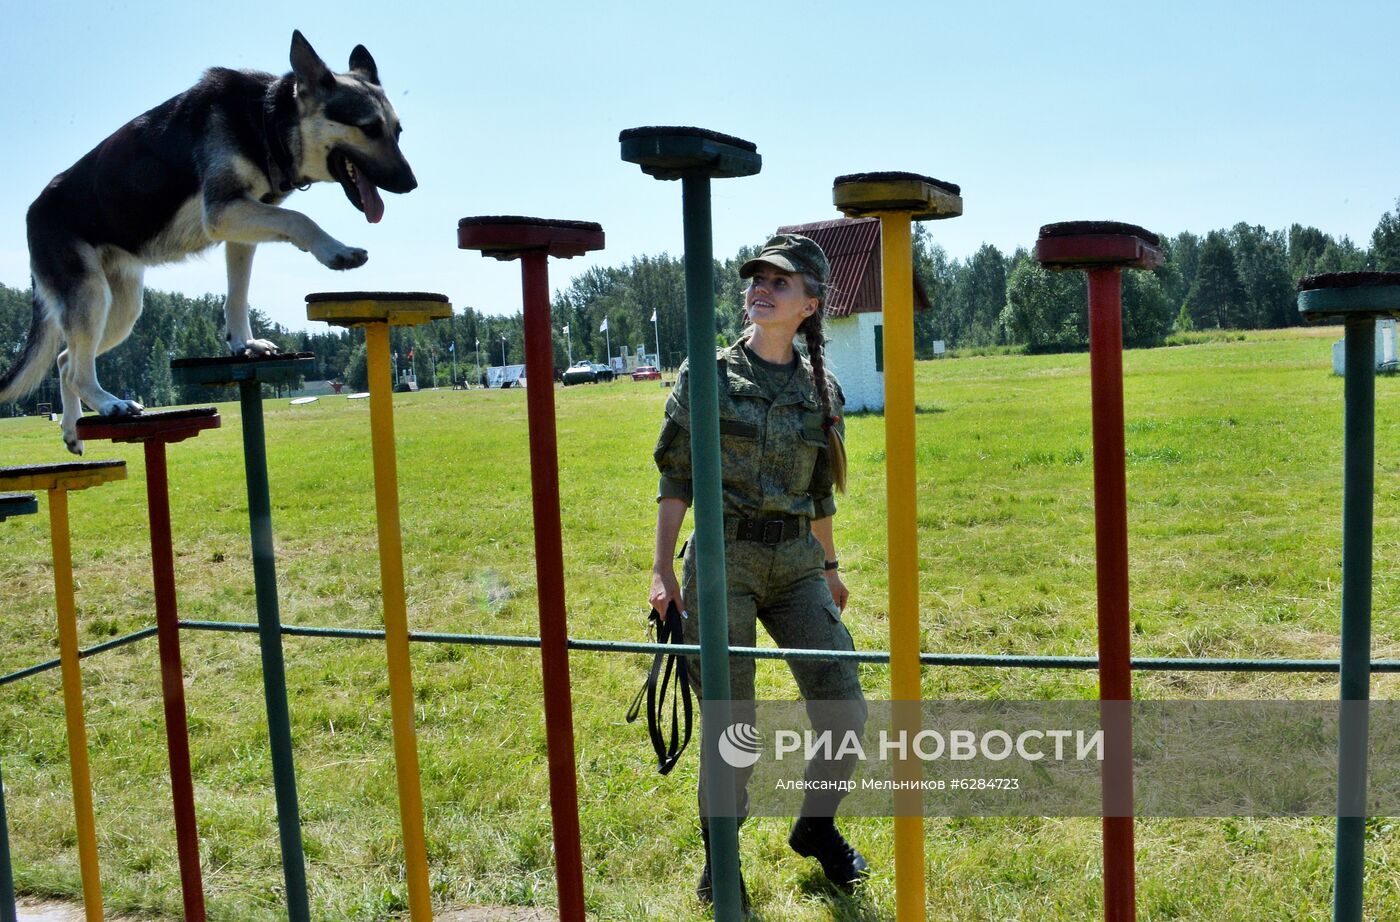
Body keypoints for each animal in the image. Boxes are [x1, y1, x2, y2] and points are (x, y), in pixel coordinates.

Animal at [1, 32, 414, 453]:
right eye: (369, 128)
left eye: (397, 131)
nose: (411, 184)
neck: (267, 119)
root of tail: (32, 212)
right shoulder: (223, 212)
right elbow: (299, 219)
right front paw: (335, 250)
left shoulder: (242, 227)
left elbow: (238, 296)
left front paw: (243, 344)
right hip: (91, 298)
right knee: (77, 368)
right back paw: (108, 404)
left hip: (121, 310)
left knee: (65, 359)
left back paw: (73, 427)